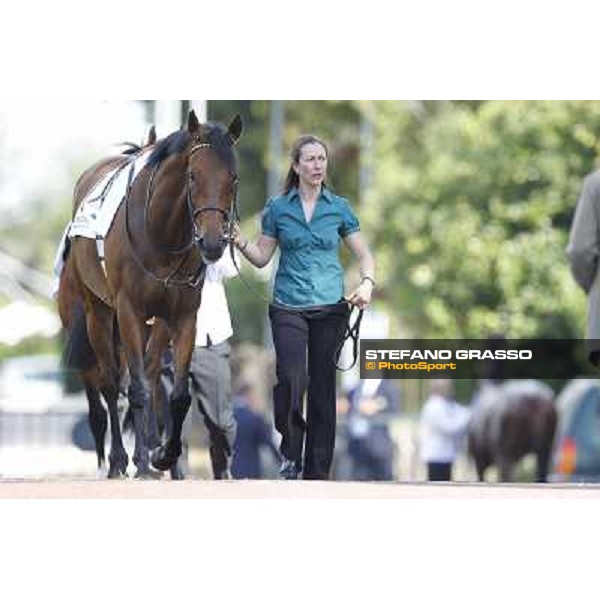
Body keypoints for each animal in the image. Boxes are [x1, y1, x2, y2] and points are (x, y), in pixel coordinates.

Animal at [65, 111, 241, 478]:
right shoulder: (129, 310)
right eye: (192, 175)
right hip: (97, 312)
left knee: (146, 374)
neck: (161, 234)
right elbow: (136, 389)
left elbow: (177, 395)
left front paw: (163, 455)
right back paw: (119, 460)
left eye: (232, 178)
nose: (213, 243)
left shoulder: (182, 315)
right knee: (110, 383)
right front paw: (143, 461)